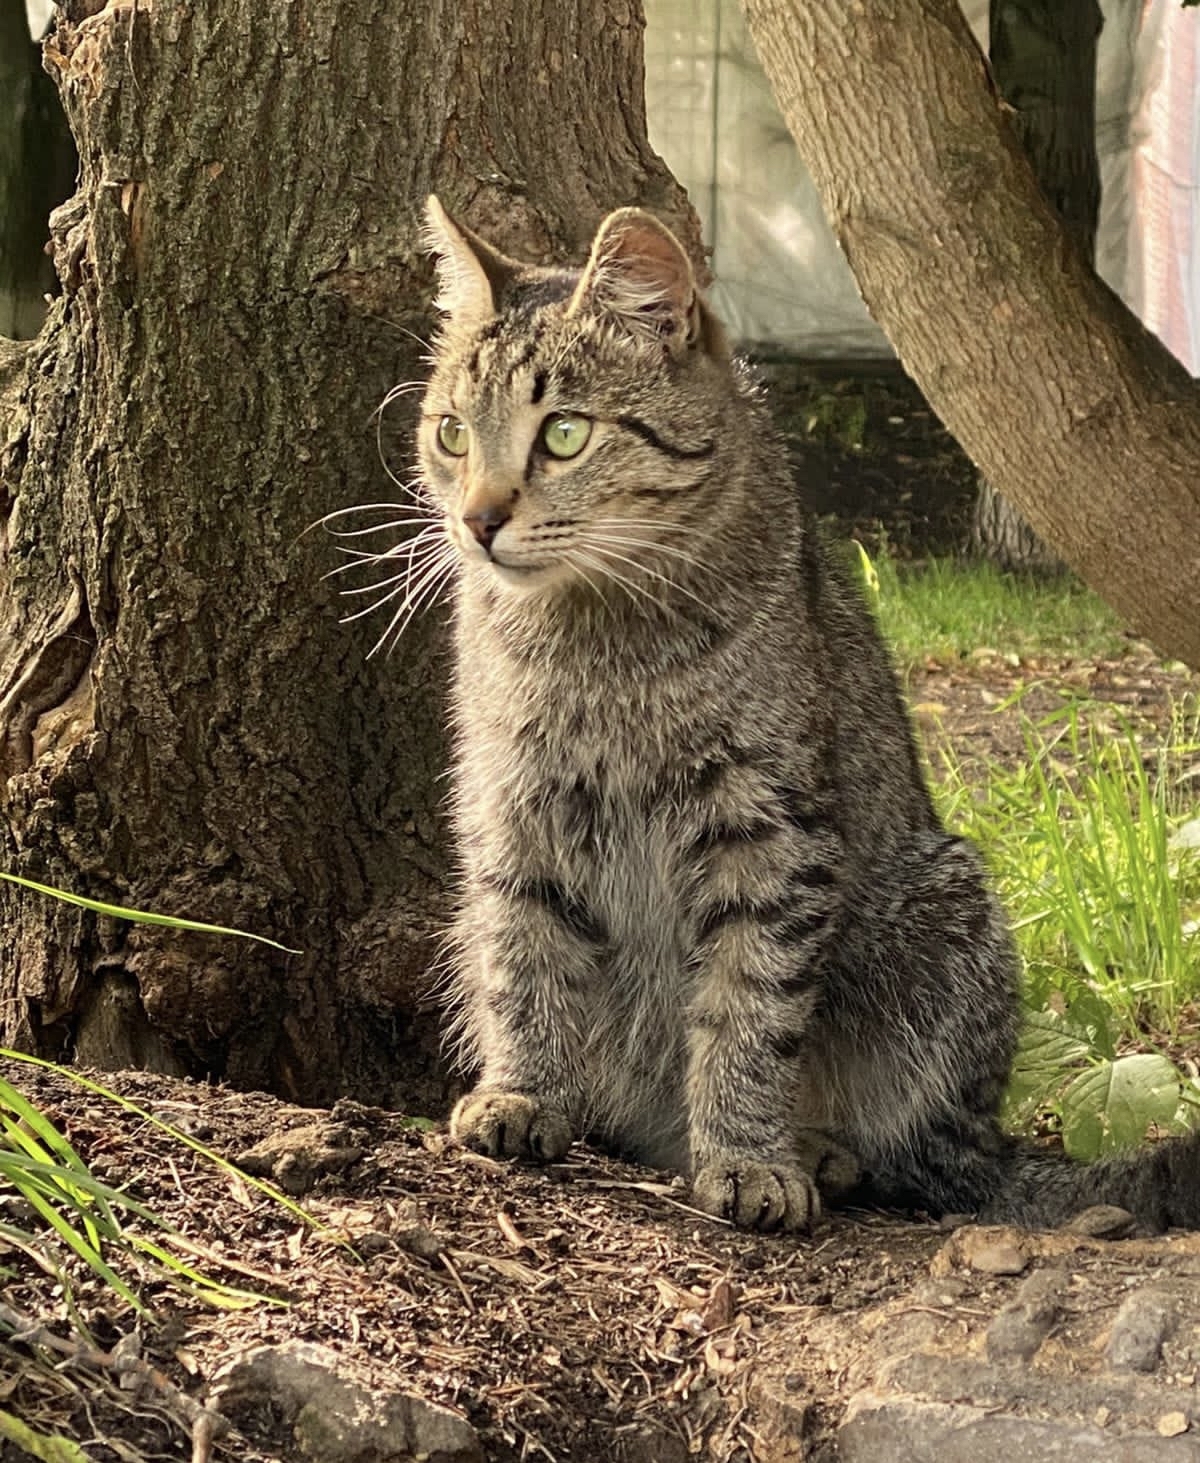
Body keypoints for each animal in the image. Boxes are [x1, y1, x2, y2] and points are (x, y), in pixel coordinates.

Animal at [406, 191, 1200, 1223]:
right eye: (453, 434)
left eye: (565, 434)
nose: (478, 520)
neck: (598, 636)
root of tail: (988, 1141)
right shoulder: (514, 802)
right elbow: (522, 956)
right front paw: (522, 1090)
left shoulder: (767, 826)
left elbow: (747, 1003)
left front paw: (748, 1155)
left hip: (946, 918)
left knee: (920, 1157)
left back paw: (820, 1150)